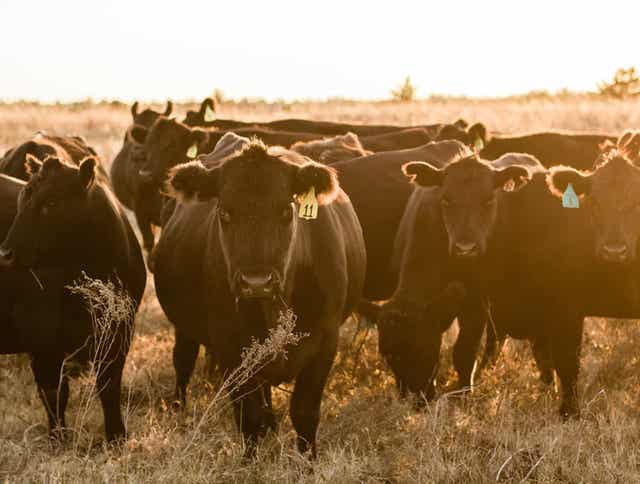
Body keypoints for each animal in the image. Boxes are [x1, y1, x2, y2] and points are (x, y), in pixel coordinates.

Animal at [0, 155, 146, 441]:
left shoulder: (119, 332)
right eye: (23, 200)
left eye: (51, 203)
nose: (6, 253)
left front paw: (117, 436)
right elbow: (54, 393)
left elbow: (109, 387)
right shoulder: (41, 338)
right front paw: (58, 437)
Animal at [152, 139, 366, 457]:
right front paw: (250, 460)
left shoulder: (326, 341)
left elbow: (305, 411)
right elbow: (248, 414)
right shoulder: (229, 345)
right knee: (183, 360)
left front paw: (309, 460)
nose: (256, 282)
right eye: (225, 213)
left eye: (286, 211)